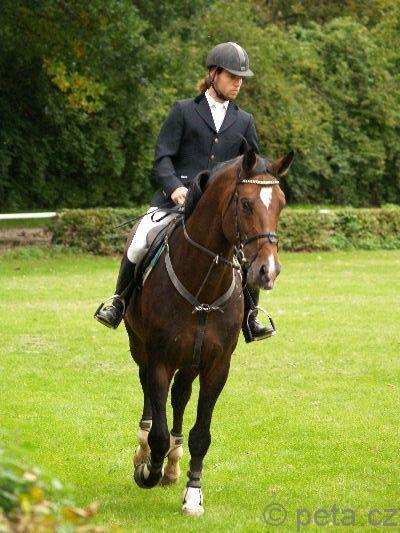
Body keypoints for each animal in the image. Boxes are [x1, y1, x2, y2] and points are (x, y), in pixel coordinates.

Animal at [123, 148, 294, 516]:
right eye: (245, 204)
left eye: (281, 203)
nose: (267, 271)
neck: (202, 282)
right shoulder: (159, 360)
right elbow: (158, 428)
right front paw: (148, 470)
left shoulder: (217, 366)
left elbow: (201, 434)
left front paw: (192, 493)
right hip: (141, 349)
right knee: (149, 396)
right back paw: (145, 453)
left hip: (190, 361)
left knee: (180, 397)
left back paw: (172, 465)